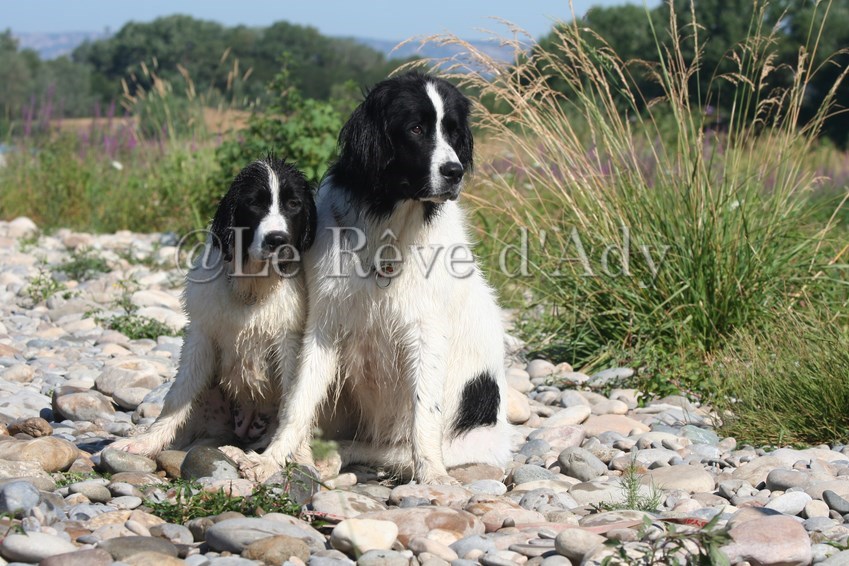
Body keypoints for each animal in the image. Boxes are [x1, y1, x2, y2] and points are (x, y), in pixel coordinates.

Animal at [111, 157, 316, 459]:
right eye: (253, 203)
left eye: (293, 204)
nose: (277, 240)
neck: (252, 286)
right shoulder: (202, 333)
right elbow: (178, 394)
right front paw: (149, 440)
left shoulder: (288, 339)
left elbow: (293, 401)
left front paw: (297, 457)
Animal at [245, 71, 512, 484]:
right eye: (416, 129)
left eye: (453, 133)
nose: (455, 172)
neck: (390, 232)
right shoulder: (325, 323)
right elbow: (299, 400)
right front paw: (272, 458)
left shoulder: (426, 331)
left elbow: (424, 414)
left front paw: (434, 476)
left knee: (393, 449)